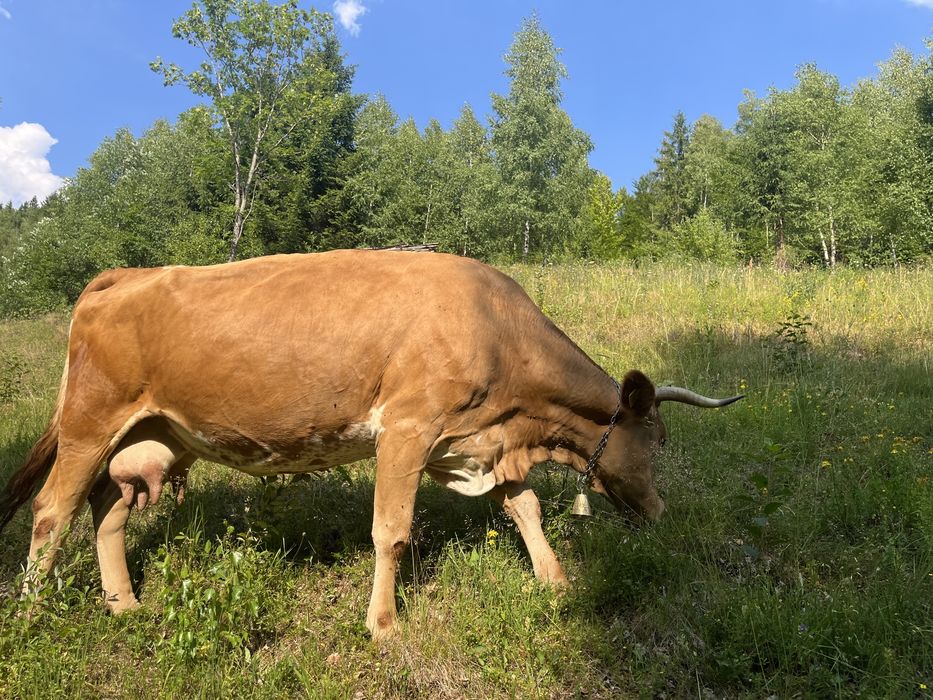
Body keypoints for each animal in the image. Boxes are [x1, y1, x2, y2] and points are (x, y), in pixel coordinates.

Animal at [0, 250, 741, 639]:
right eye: (658, 438)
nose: (660, 511)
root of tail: (125, 274)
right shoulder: (408, 429)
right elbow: (391, 529)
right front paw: (383, 623)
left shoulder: (480, 438)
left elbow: (524, 508)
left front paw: (555, 581)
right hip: (89, 422)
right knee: (51, 510)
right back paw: (32, 614)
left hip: (149, 432)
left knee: (108, 510)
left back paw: (124, 604)